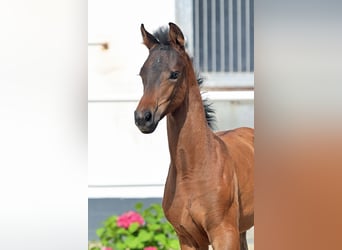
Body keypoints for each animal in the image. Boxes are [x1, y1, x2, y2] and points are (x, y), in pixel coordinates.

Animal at [134, 22, 254, 249]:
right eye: (142, 74)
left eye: (174, 74)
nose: (142, 117)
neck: (191, 171)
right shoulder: (187, 238)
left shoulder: (223, 234)